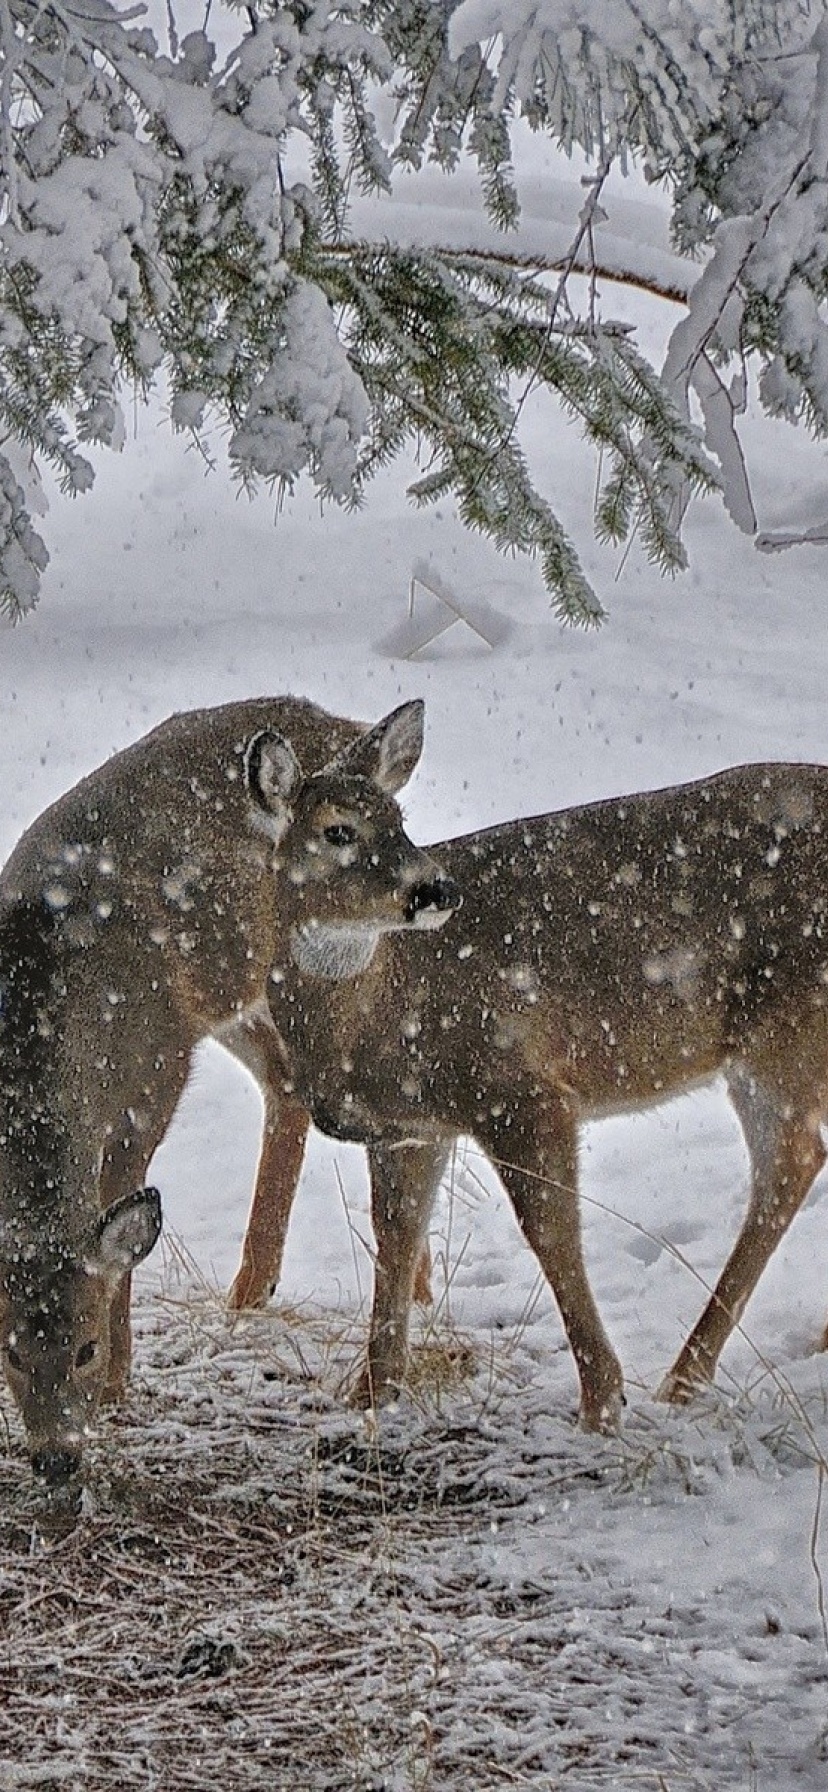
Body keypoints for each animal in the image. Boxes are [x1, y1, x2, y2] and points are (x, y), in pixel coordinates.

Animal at [0, 691, 458, 1490]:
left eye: (83, 1346)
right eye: (12, 1354)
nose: (56, 1460)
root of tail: (339, 725)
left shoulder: (153, 1075)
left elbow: (122, 1227)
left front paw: (119, 1384)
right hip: (238, 994)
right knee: (287, 1083)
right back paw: (261, 1288)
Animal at [247, 763, 828, 1433]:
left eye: (398, 818)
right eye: (337, 830)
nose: (435, 890)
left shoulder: (519, 1089)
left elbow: (550, 1229)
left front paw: (601, 1402)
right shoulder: (410, 1126)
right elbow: (395, 1234)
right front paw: (369, 1392)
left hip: (783, 1033)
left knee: (790, 1164)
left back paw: (682, 1380)